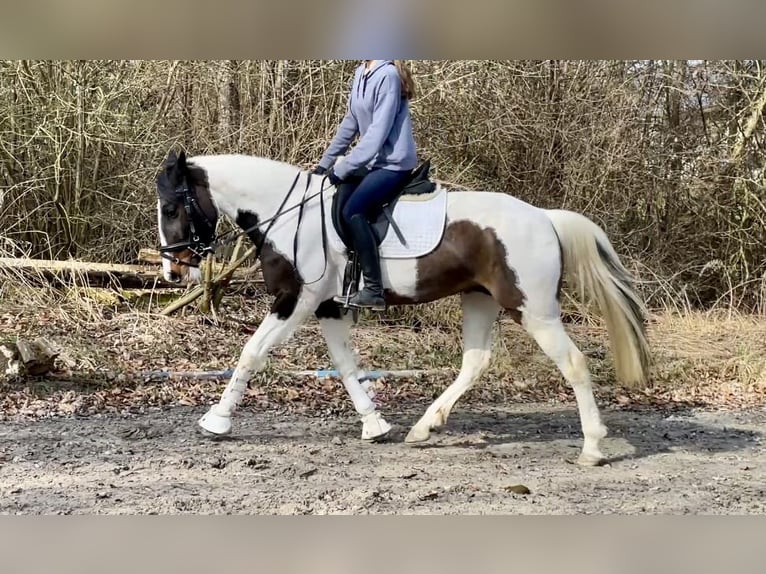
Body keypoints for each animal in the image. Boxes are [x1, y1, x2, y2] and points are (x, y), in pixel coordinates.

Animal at [155, 149, 651, 466]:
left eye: (173, 207)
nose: (173, 274)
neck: (289, 214)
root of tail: (546, 217)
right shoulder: (328, 306)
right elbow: (346, 366)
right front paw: (376, 425)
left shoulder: (298, 301)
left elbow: (252, 353)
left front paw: (216, 421)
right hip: (479, 298)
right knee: (475, 361)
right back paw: (423, 428)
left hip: (533, 309)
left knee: (574, 363)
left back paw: (592, 449)